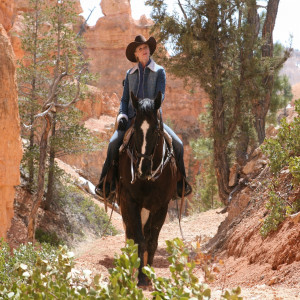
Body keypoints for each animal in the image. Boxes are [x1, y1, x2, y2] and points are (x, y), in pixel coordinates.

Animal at [117, 91, 178, 286]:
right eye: (136, 129)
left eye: (156, 130)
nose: (142, 169)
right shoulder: (131, 202)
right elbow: (139, 240)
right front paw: (141, 277)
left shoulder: (161, 206)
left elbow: (152, 242)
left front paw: (148, 273)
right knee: (130, 235)